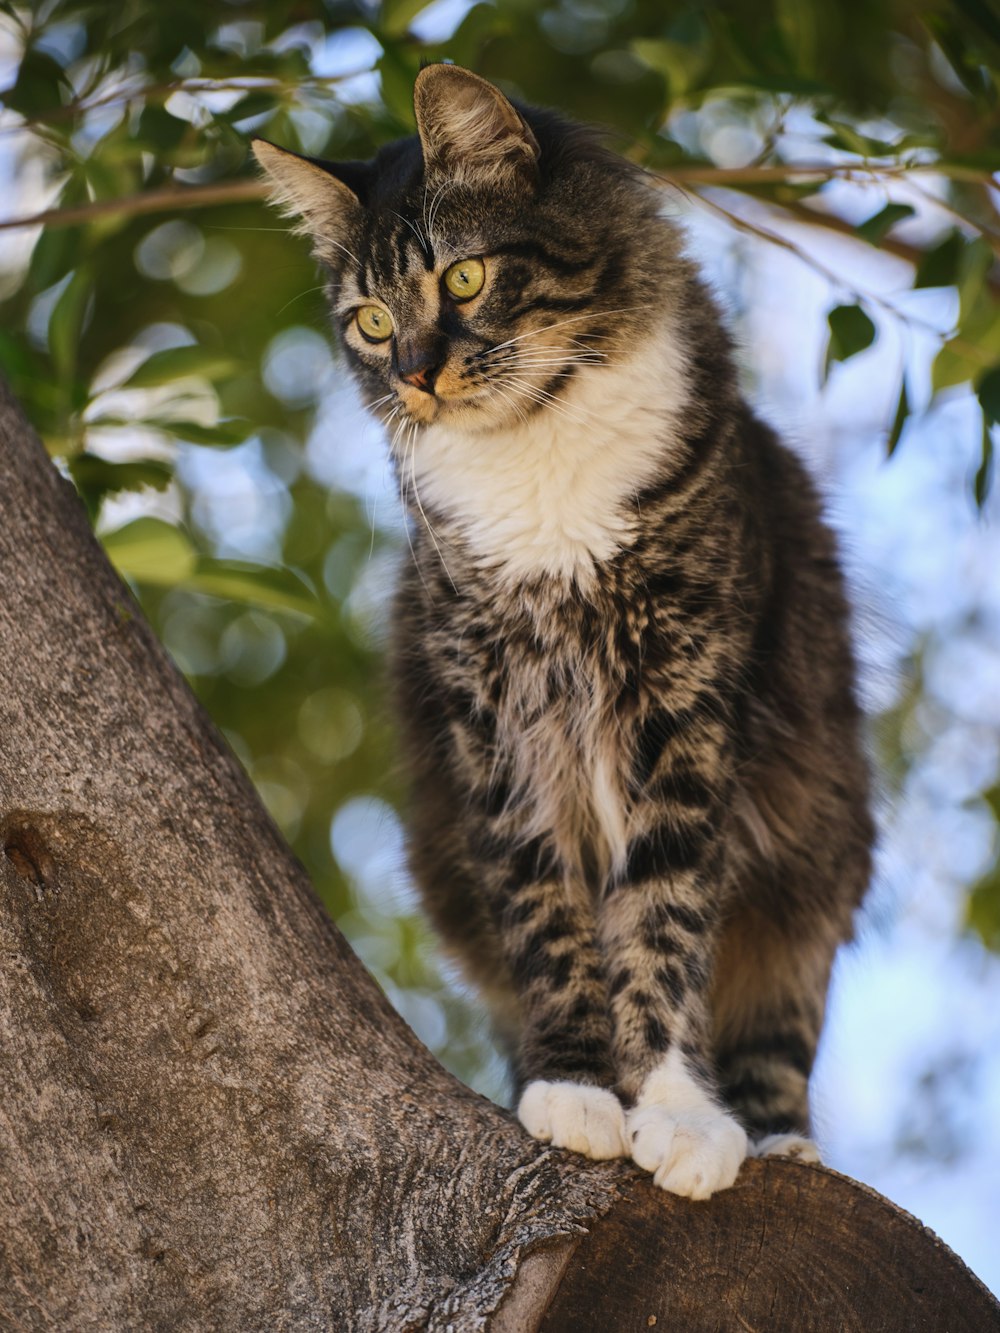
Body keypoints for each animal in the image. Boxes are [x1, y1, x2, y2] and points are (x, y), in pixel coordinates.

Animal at [252, 64, 874, 1210]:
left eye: (462, 280)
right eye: (371, 320)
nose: (415, 374)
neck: (538, 458)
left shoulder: (683, 707)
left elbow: (663, 922)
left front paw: (679, 1114)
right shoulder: (496, 718)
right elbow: (549, 917)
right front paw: (579, 1089)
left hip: (818, 859)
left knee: (776, 1034)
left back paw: (777, 1143)